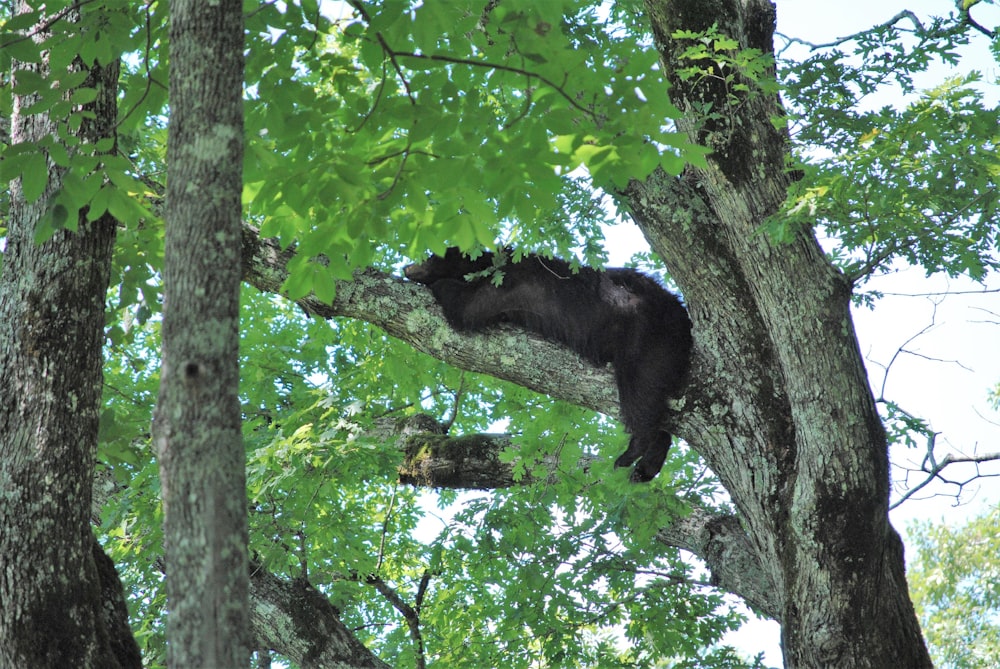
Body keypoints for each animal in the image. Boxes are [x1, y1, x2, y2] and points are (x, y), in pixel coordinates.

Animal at [402, 247, 692, 480]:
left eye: (430, 255)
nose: (406, 267)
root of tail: (679, 311)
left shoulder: (508, 284)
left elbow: (467, 307)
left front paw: (441, 285)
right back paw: (648, 465)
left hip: (645, 338)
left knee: (638, 392)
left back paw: (633, 450)